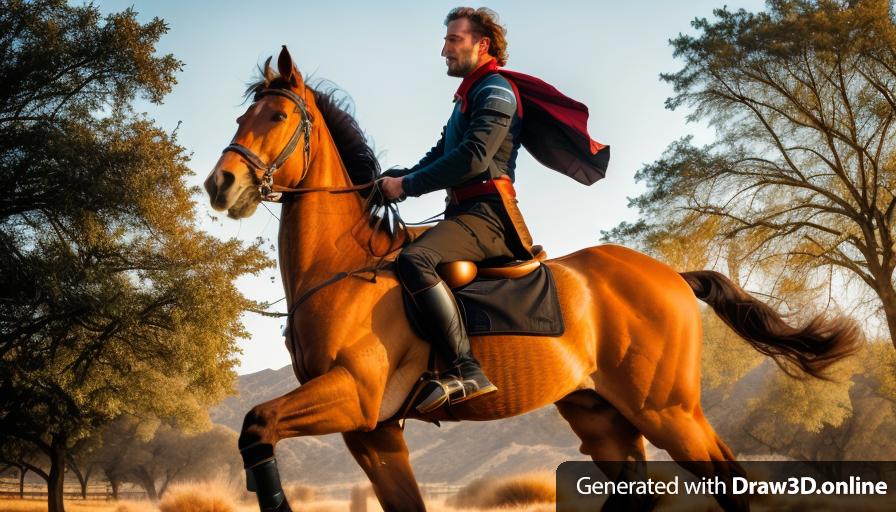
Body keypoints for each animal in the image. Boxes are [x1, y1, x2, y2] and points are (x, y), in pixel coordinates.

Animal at [203, 46, 860, 510]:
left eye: (277, 114)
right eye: (240, 114)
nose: (220, 185)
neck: (341, 268)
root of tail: (671, 276)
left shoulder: (352, 398)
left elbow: (255, 426)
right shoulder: (374, 432)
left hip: (668, 411)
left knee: (728, 480)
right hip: (602, 415)